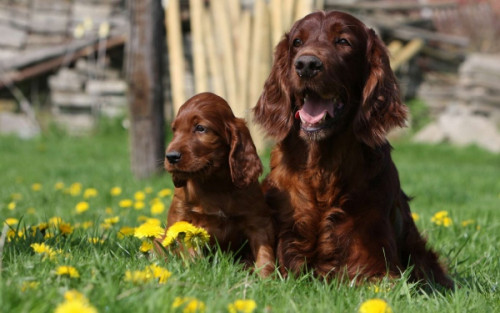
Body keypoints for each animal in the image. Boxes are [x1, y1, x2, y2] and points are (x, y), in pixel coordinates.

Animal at [163, 91, 276, 276]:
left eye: (200, 128)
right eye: (174, 130)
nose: (171, 157)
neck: (213, 183)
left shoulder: (258, 220)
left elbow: (264, 254)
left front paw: (266, 278)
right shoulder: (180, 217)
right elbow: (189, 252)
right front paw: (195, 272)